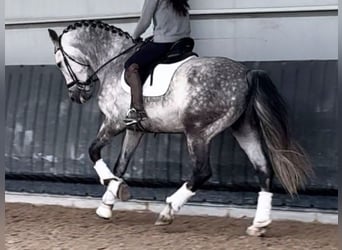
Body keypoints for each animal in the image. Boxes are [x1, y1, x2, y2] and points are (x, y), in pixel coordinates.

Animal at [48, 20, 312, 236]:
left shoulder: (113, 122)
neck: (113, 61)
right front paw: (107, 204)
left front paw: (113, 190)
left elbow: (93, 152)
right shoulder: (134, 129)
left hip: (198, 133)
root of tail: (246, 73)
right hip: (244, 129)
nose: (76, 96)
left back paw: (167, 212)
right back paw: (259, 225)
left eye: (60, 63)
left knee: (202, 172)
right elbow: (120, 165)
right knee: (264, 169)